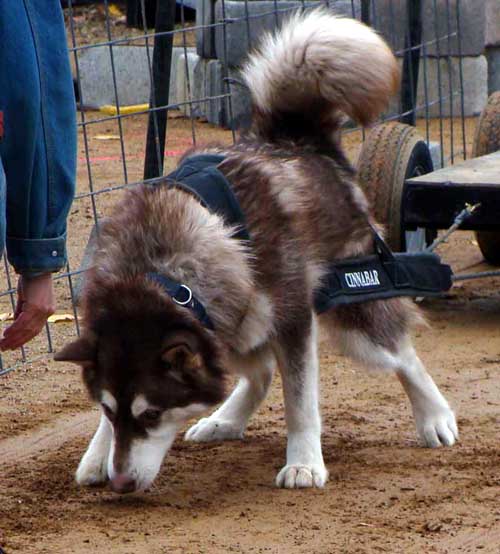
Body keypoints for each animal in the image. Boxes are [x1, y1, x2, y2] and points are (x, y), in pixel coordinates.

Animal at [54, 8, 458, 492]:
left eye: (152, 414)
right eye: (107, 410)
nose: (121, 483)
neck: (160, 272)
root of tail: (299, 143)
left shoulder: (294, 320)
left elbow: (300, 399)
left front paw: (304, 461)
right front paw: (98, 453)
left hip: (350, 314)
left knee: (402, 354)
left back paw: (434, 416)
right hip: (236, 325)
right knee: (262, 372)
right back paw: (225, 420)